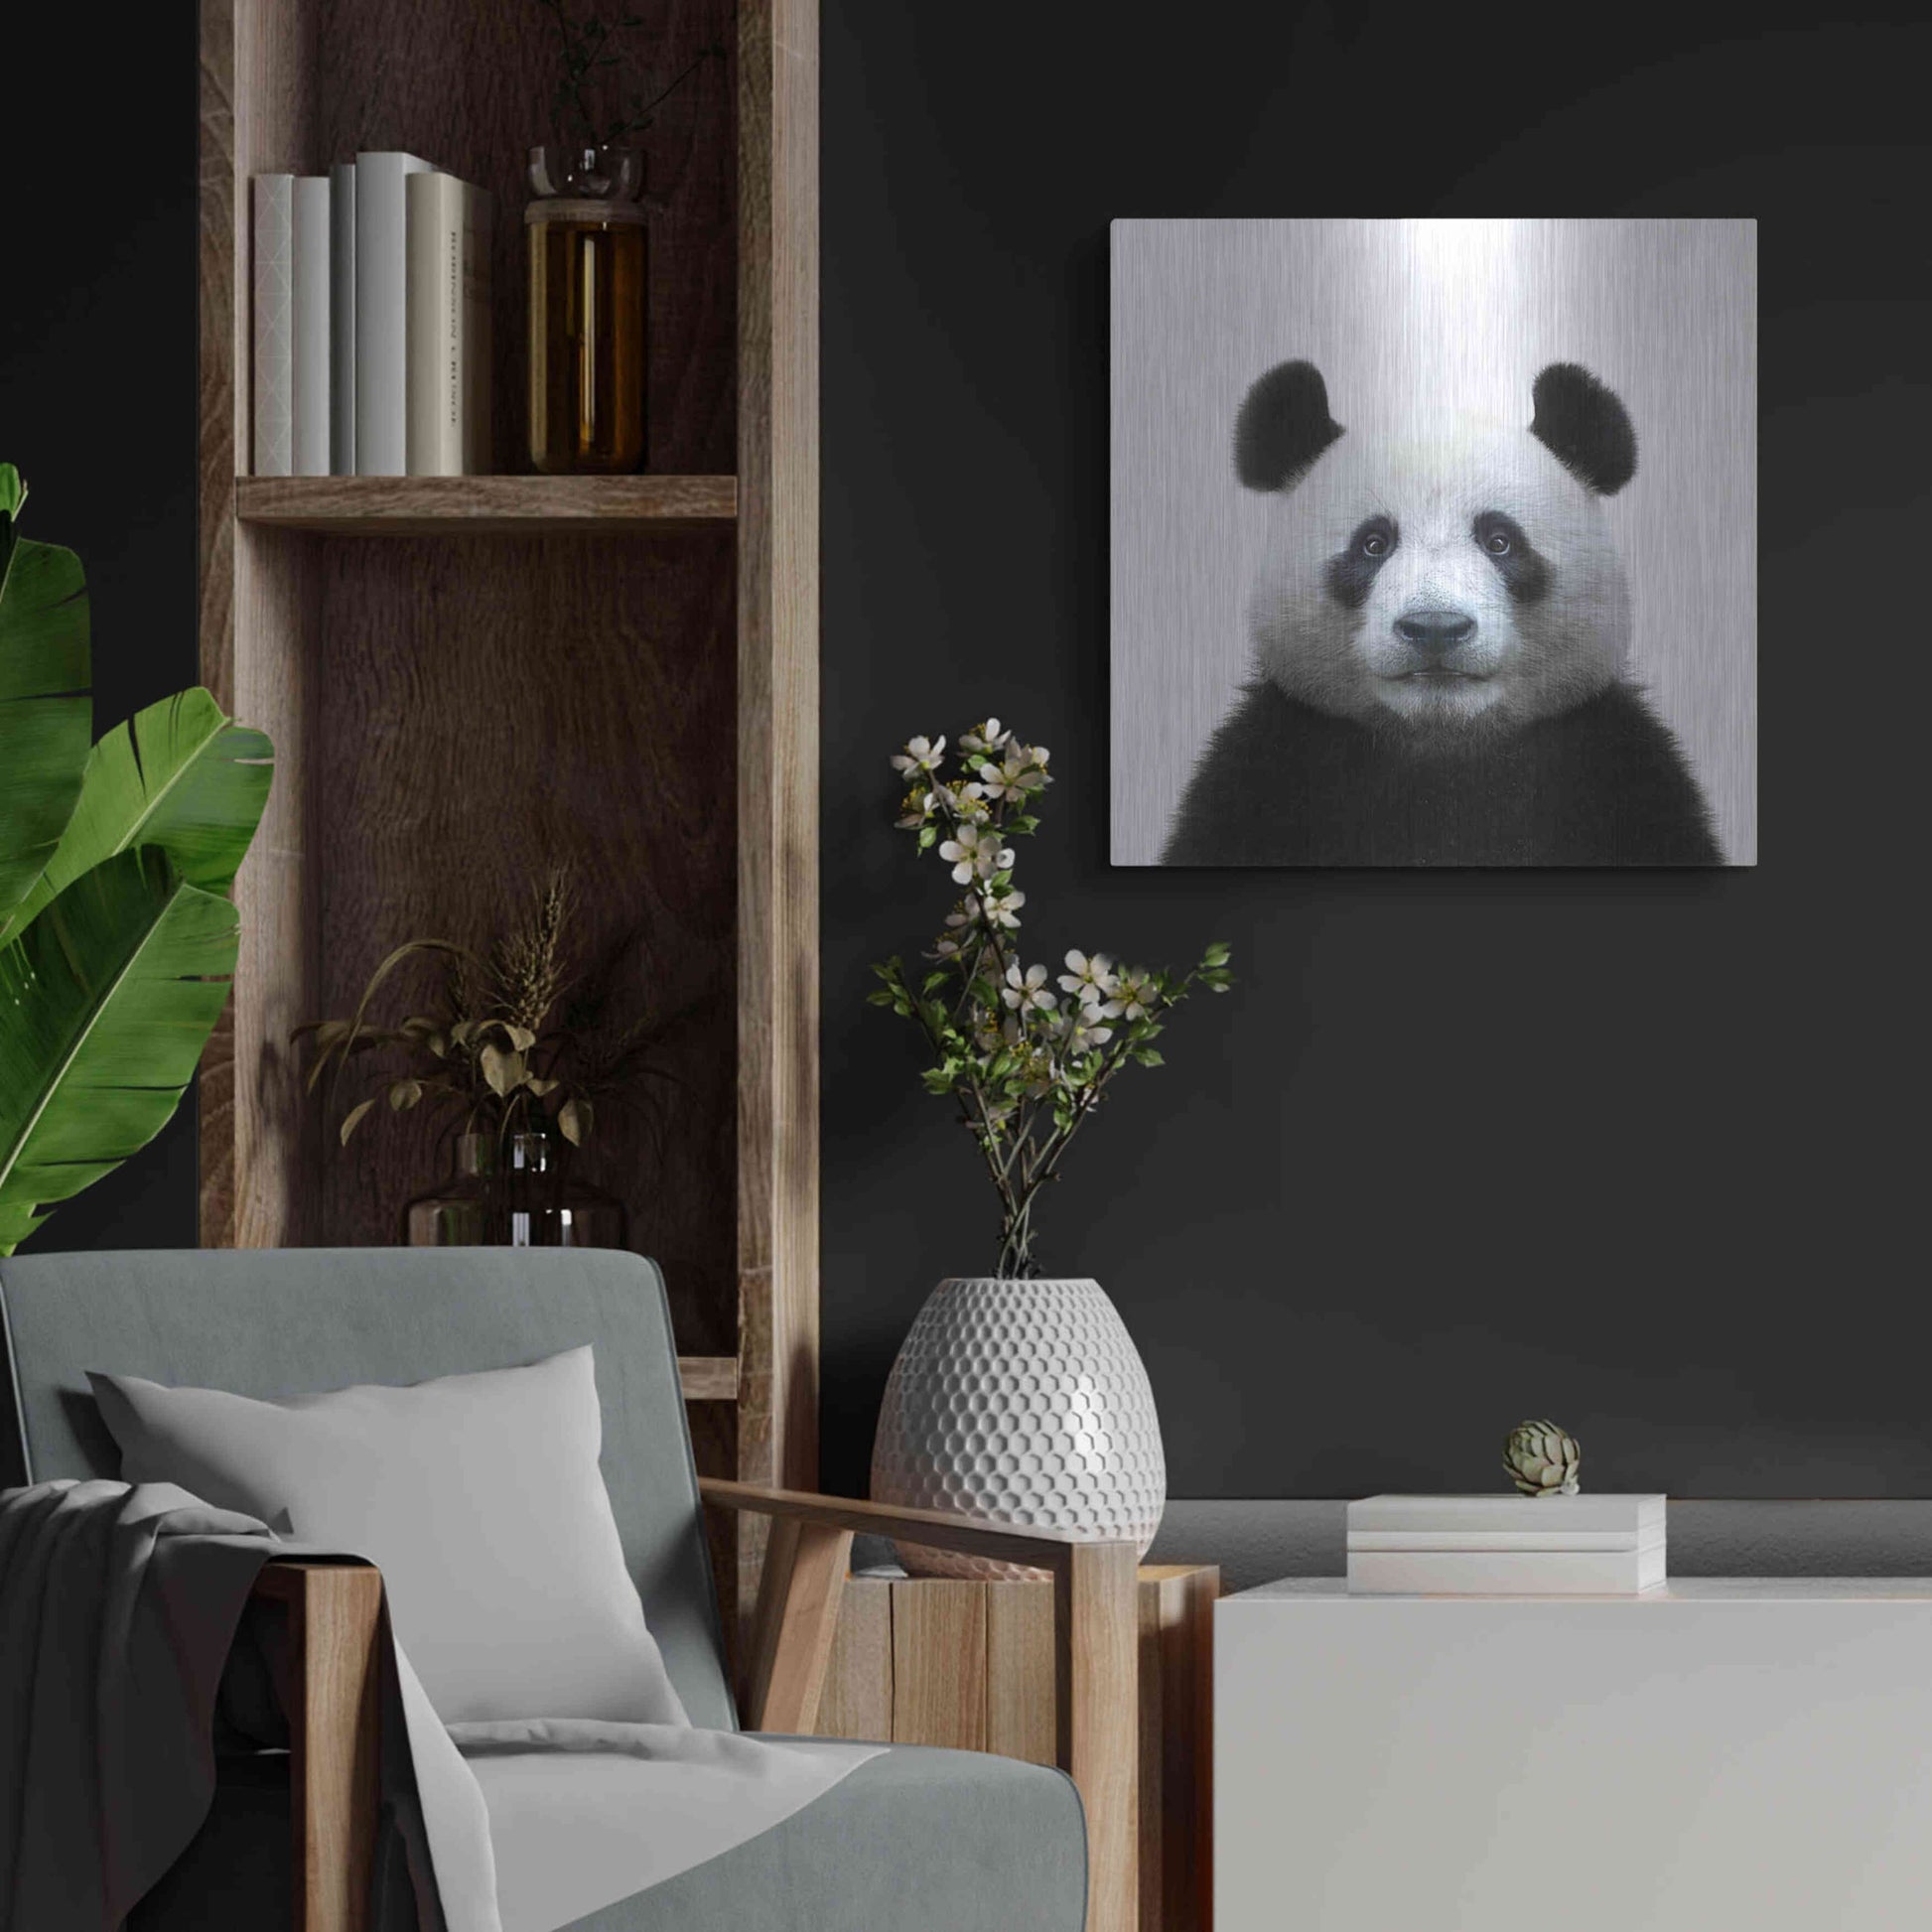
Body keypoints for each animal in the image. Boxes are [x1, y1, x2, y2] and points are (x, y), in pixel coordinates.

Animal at [1159, 360, 1723, 867]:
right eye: (1373, 543)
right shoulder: (1268, 772)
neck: (1441, 746)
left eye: (1500, 540)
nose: (1435, 628)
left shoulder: (1617, 774)